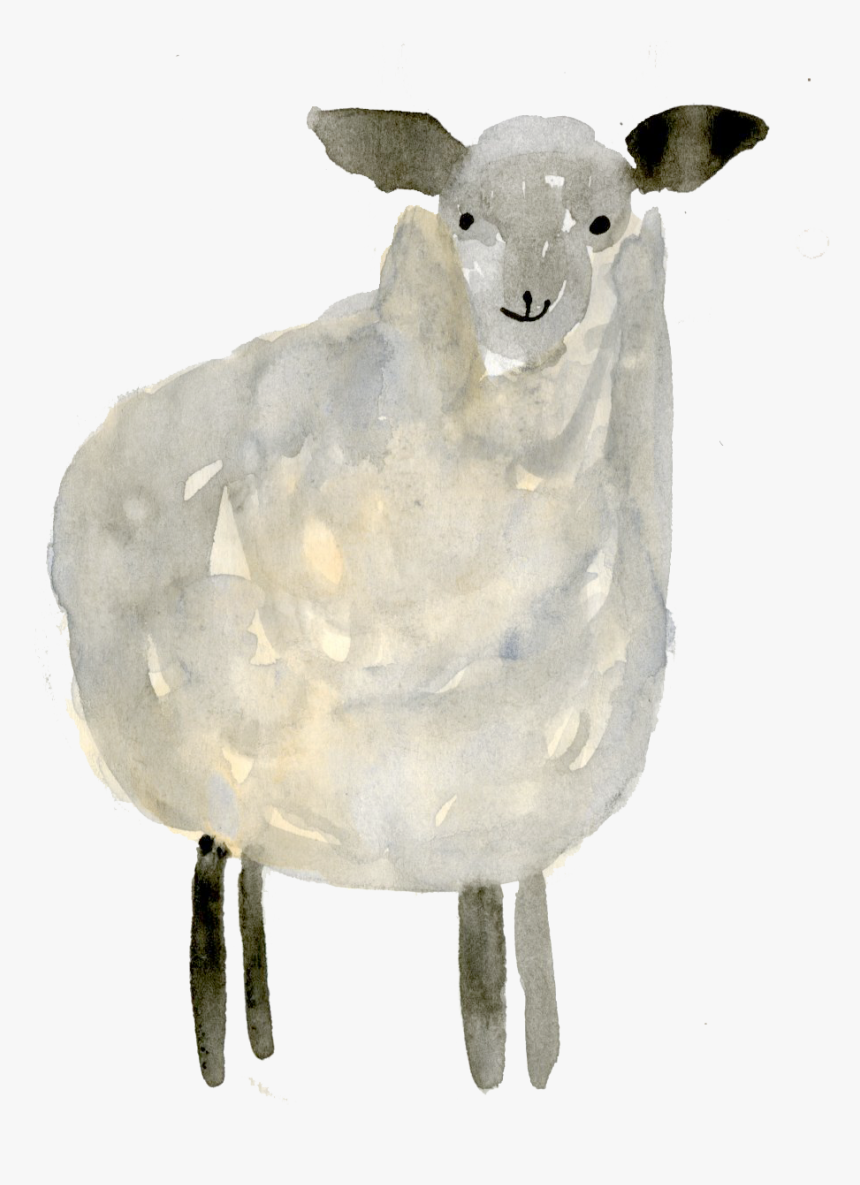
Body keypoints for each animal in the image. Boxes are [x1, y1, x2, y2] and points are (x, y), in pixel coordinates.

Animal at [50, 104, 767, 1091]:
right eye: (462, 218)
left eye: (603, 222)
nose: (529, 301)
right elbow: (483, 978)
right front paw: (495, 1075)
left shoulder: (516, 813)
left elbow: (521, 948)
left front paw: (532, 1068)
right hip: (214, 771)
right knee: (210, 892)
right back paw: (221, 1057)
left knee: (251, 883)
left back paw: (268, 1040)